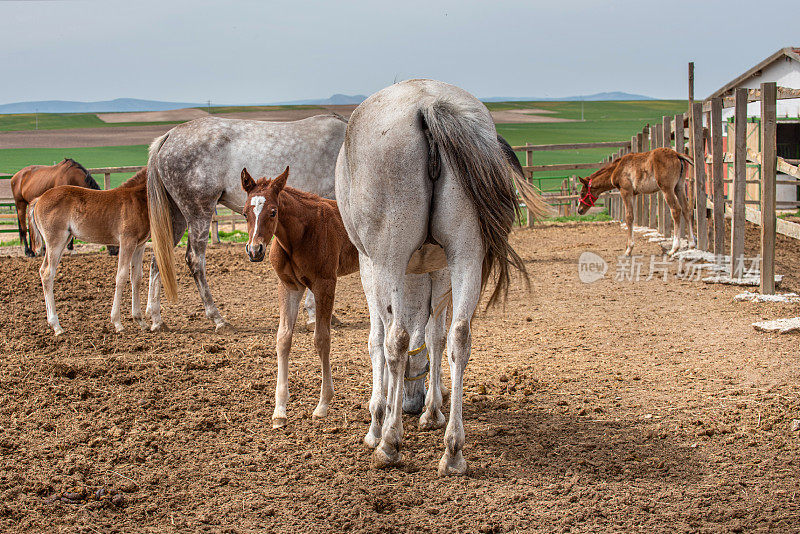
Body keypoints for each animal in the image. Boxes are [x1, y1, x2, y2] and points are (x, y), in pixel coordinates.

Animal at [145, 115, 346, 332]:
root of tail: (169, 135)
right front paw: (314, 315)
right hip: (199, 213)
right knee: (195, 261)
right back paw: (218, 319)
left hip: (176, 217)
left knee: (158, 259)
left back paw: (156, 319)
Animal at [332, 79, 552, 478]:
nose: (409, 406)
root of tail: (428, 103)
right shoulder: (439, 272)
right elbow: (436, 338)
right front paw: (433, 411)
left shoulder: (370, 267)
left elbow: (378, 340)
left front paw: (377, 422)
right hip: (467, 254)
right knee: (460, 337)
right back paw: (452, 451)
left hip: (389, 256)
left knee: (397, 339)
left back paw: (390, 443)